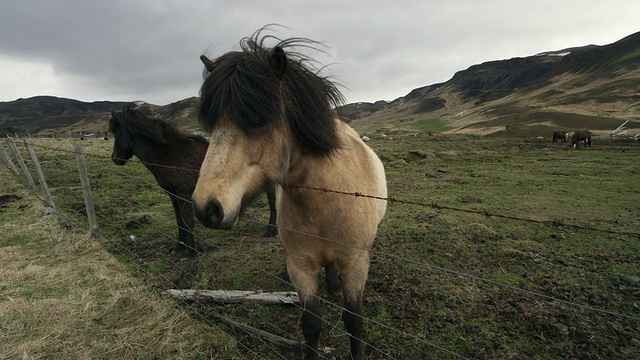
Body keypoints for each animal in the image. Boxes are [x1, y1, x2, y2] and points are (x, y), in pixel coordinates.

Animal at [108, 102, 278, 258]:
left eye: (117, 133)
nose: (115, 159)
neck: (167, 154)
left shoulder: (184, 195)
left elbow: (187, 221)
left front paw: (190, 252)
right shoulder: (173, 195)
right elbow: (179, 221)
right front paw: (179, 247)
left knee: (273, 205)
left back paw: (271, 231)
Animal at [190, 31, 388, 360]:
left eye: (258, 120)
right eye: (212, 124)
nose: (207, 208)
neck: (327, 197)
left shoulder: (356, 264)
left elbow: (354, 322)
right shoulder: (301, 265)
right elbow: (311, 325)